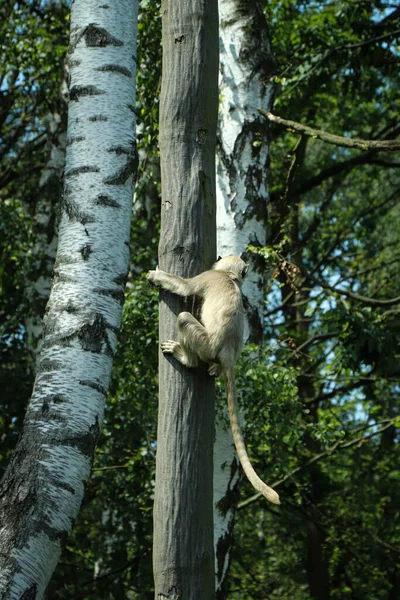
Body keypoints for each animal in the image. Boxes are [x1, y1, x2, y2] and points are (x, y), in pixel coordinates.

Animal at [147, 255, 282, 504]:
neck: (229, 277)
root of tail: (228, 354)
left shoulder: (209, 277)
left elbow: (185, 288)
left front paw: (156, 276)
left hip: (205, 343)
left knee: (184, 318)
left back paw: (186, 358)